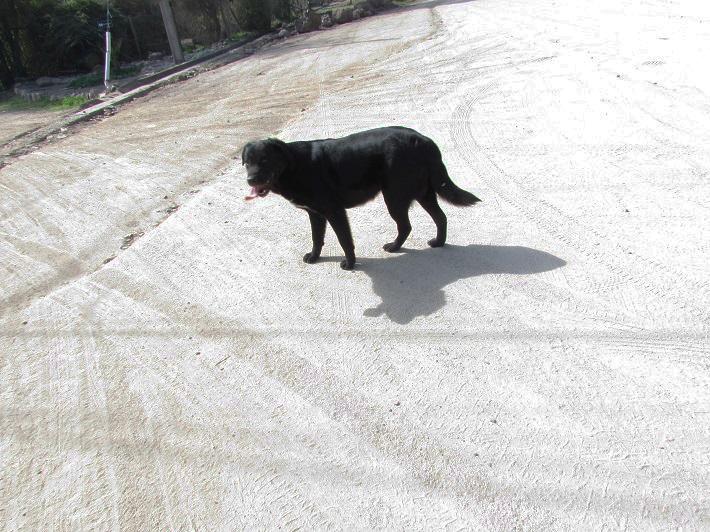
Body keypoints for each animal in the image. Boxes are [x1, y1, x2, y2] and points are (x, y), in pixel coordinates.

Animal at [242, 125, 482, 270]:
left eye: (264, 160)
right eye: (247, 162)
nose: (250, 180)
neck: (294, 166)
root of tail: (423, 140)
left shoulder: (335, 211)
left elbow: (344, 240)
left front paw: (349, 264)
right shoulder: (315, 214)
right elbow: (317, 238)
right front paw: (314, 257)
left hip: (395, 196)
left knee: (406, 225)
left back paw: (395, 247)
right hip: (422, 192)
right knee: (440, 217)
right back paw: (438, 242)